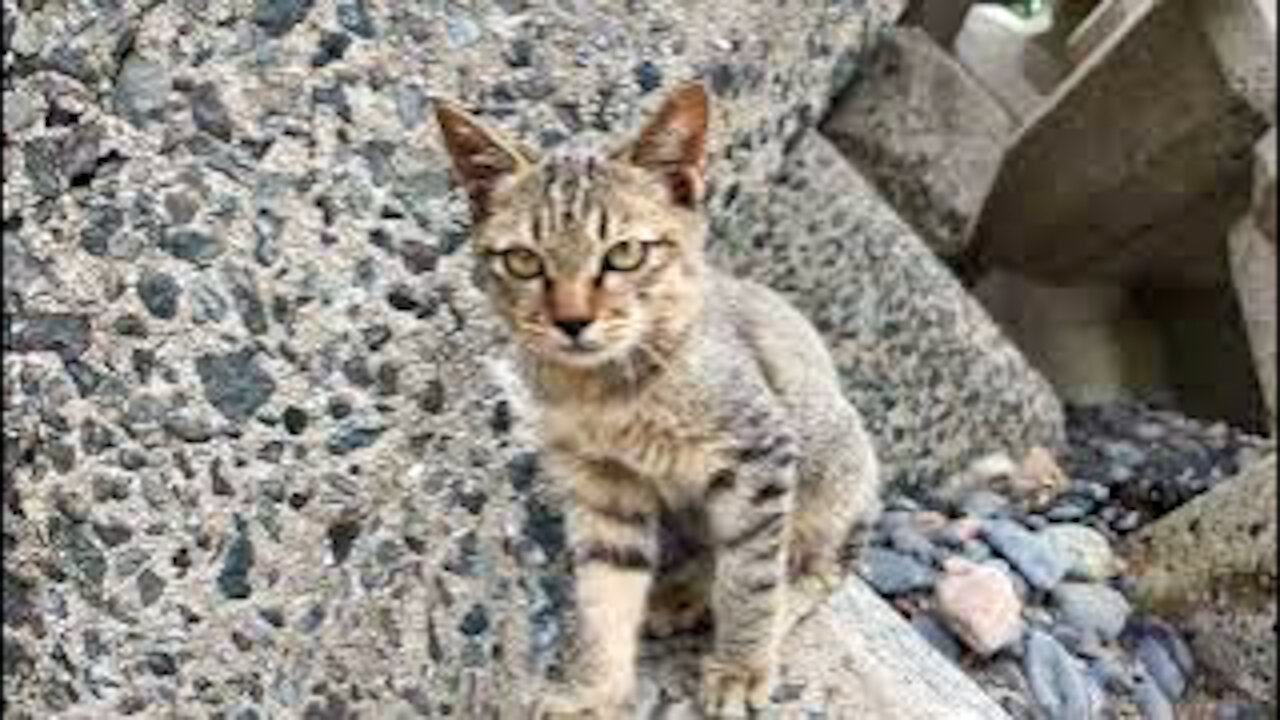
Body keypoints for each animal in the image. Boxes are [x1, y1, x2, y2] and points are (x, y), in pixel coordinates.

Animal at [435, 81, 885, 712]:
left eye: (624, 254)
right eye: (524, 260)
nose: (572, 321)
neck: (605, 391)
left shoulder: (761, 452)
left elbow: (751, 577)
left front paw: (742, 667)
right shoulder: (603, 487)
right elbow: (604, 600)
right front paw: (594, 693)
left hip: (835, 475)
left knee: (813, 565)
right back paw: (682, 593)